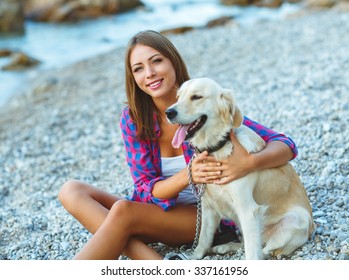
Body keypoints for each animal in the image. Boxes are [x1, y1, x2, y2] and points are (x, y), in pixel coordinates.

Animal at [164, 77, 314, 260]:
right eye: (178, 97)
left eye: (196, 97)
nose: (168, 112)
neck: (216, 149)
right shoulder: (207, 206)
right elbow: (203, 239)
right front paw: (193, 257)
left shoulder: (248, 210)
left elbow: (252, 253)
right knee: (246, 243)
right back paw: (224, 247)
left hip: (294, 220)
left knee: (264, 249)